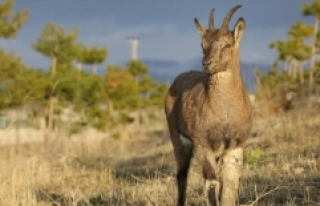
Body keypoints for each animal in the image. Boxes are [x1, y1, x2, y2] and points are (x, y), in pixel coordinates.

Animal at [165, 4, 252, 206]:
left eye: (226, 44)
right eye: (202, 45)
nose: (207, 64)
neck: (225, 113)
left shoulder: (235, 146)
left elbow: (229, 186)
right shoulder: (203, 146)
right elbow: (212, 184)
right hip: (178, 139)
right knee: (182, 174)